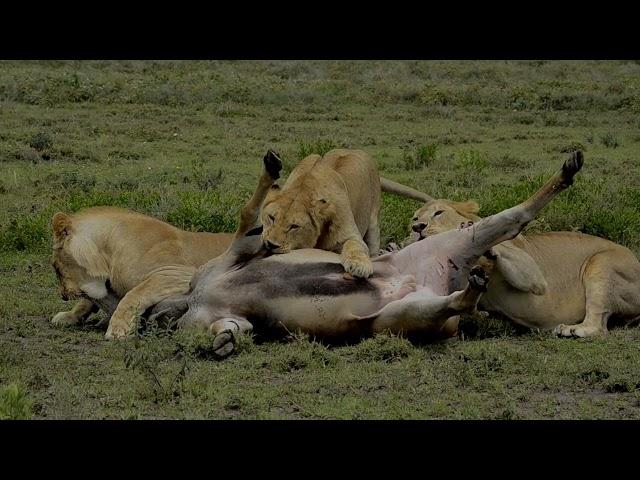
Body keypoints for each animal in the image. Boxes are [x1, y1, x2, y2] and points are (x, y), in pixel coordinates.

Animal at [50, 206, 235, 338]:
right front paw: (68, 315)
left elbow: (134, 294)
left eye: (56, 268)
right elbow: (87, 301)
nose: (63, 296)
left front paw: (117, 328)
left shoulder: (179, 272)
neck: (109, 252)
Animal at [404, 191, 640, 338]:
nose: (418, 227)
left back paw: (573, 330)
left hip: (602, 262)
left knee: (599, 325)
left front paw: (470, 229)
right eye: (414, 218)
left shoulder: (534, 274)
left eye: (438, 212)